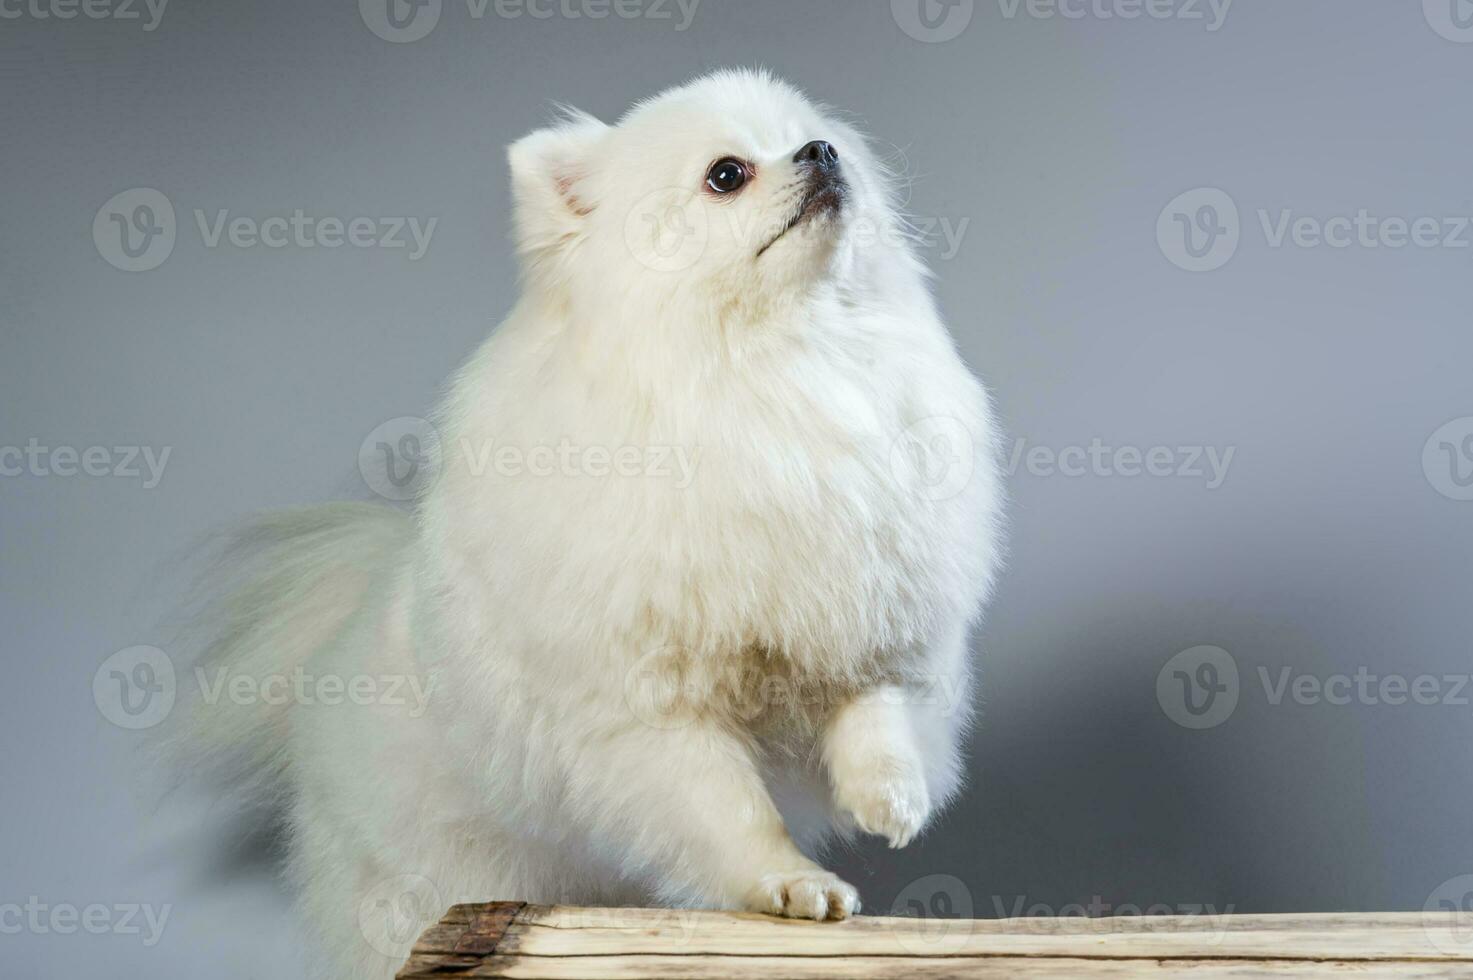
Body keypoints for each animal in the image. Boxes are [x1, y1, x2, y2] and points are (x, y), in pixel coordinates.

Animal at [172, 70, 1001, 978]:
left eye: (824, 141)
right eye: (726, 175)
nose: (821, 154)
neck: (770, 368)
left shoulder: (866, 609)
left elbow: (874, 712)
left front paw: (887, 797)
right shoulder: (649, 705)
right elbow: (729, 810)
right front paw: (789, 884)